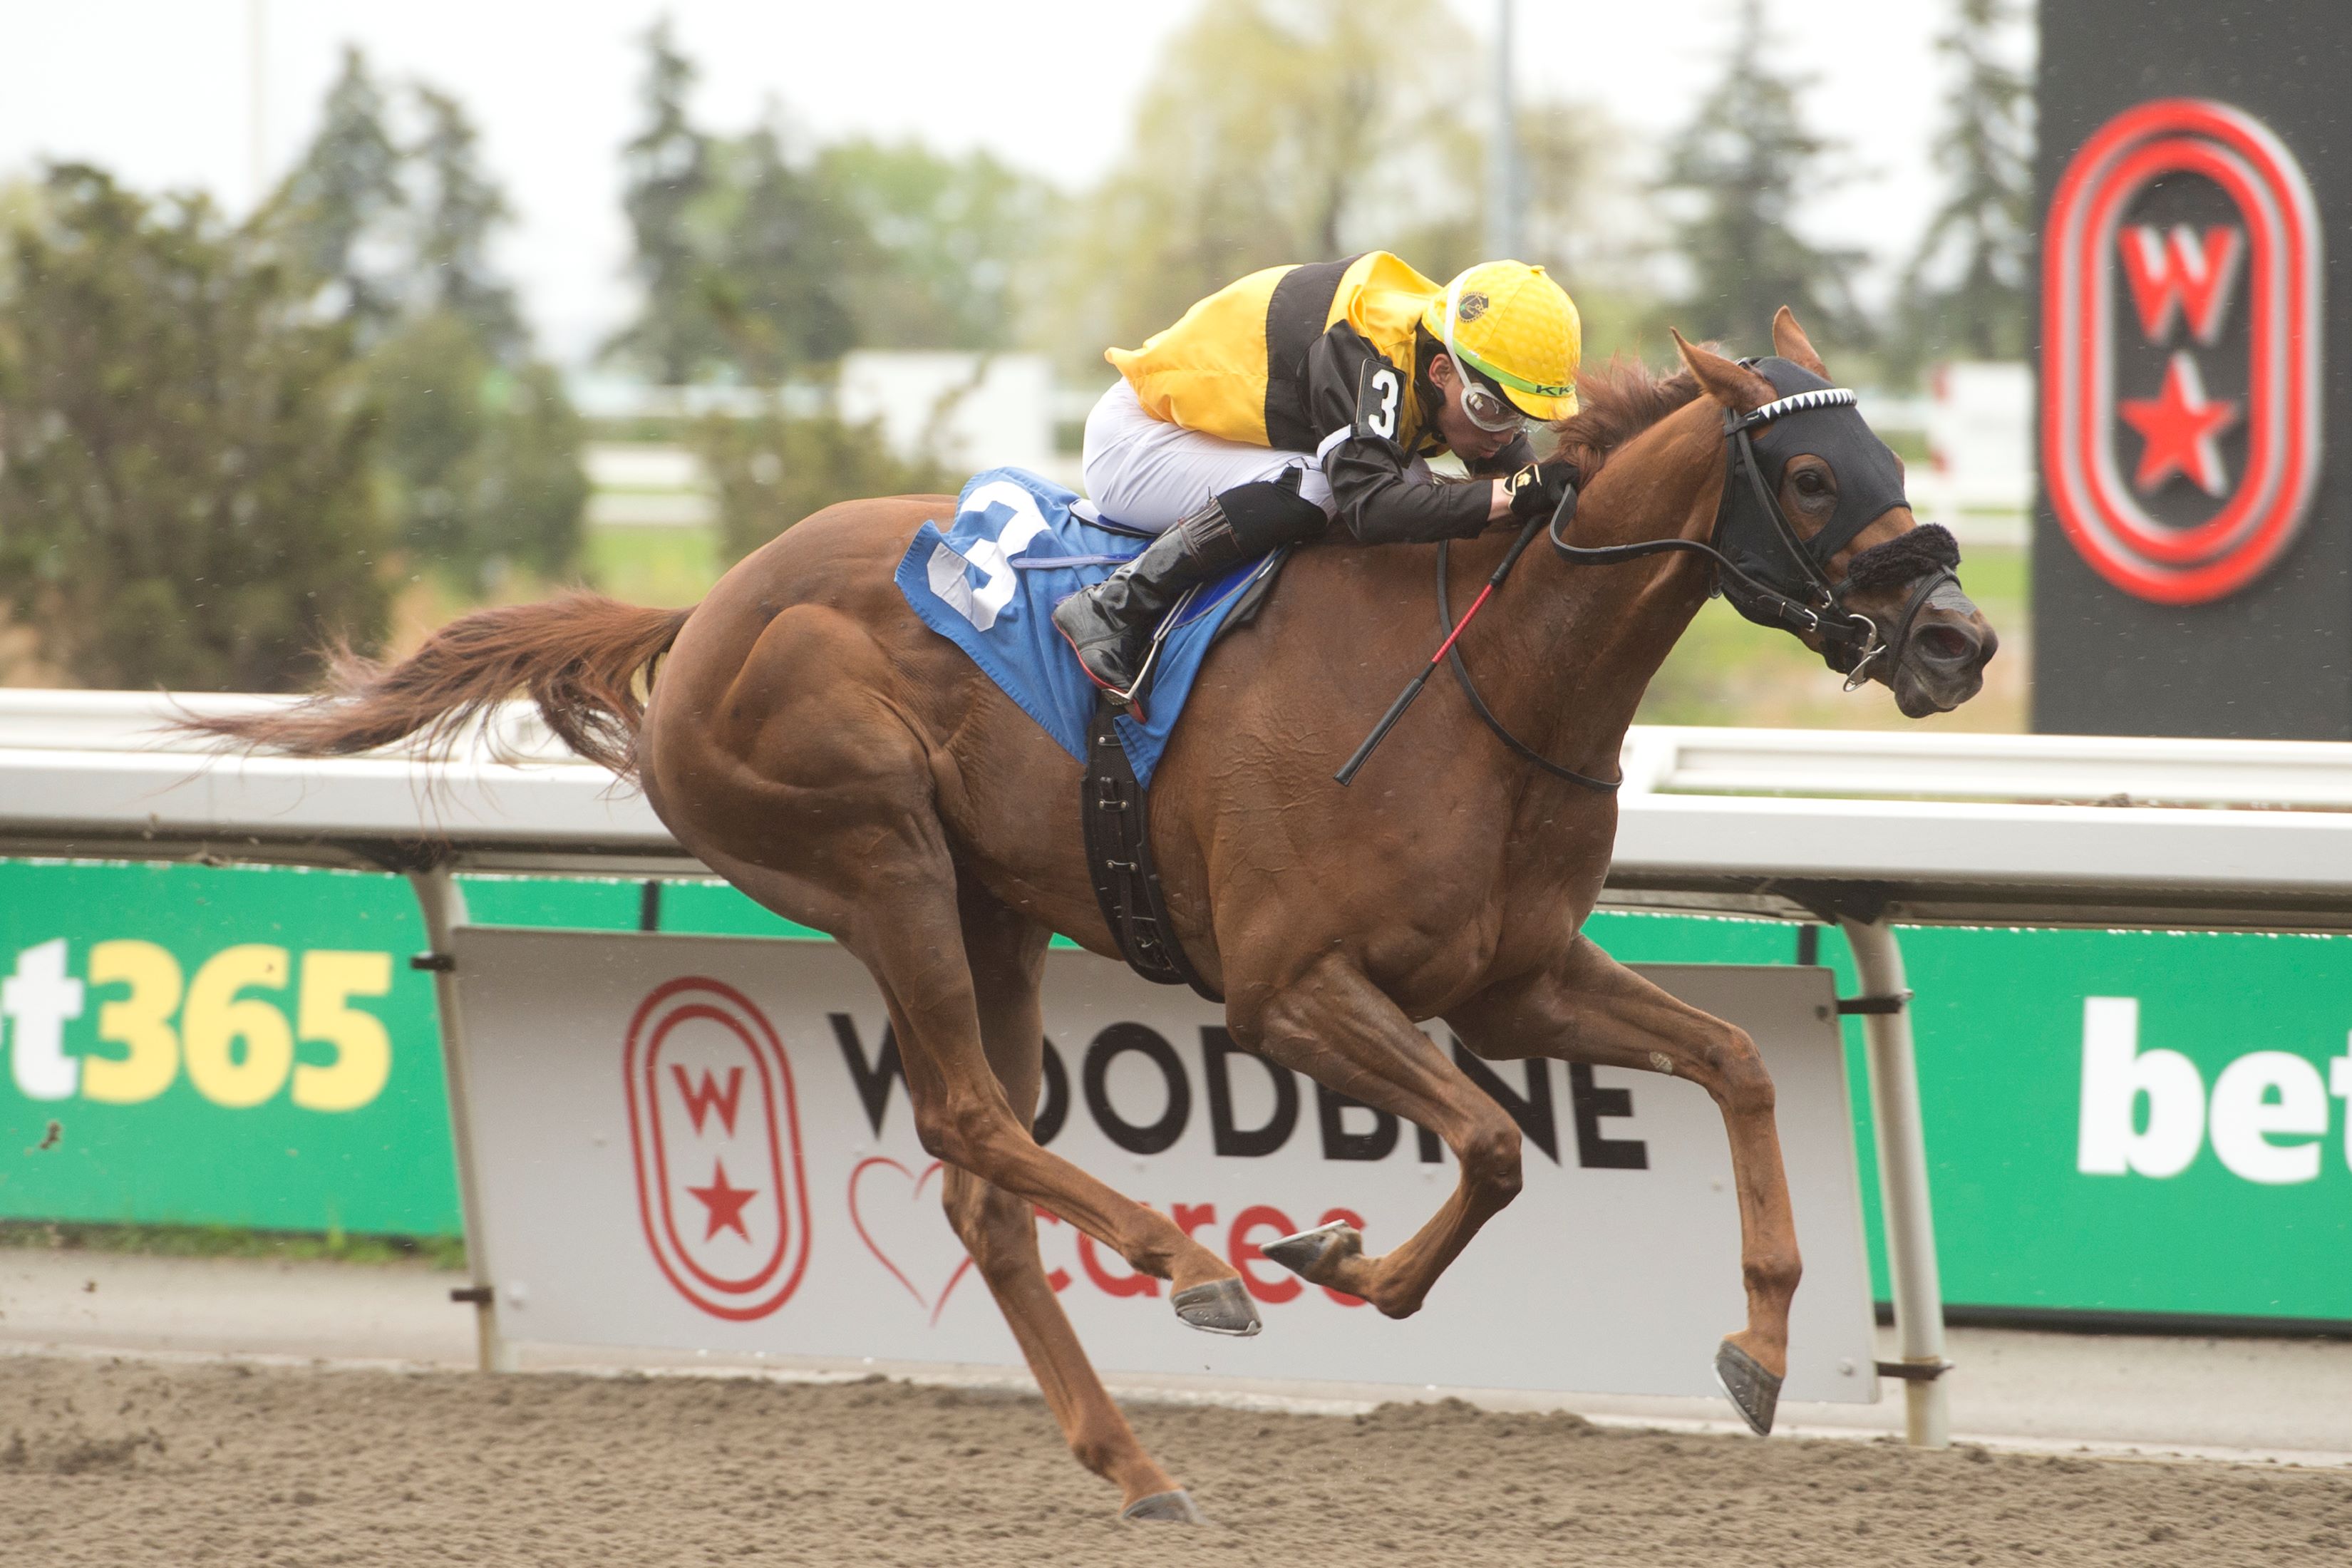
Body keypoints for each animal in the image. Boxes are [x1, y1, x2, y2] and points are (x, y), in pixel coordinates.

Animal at [202, 312, 1994, 1523]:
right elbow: (1491, 1142)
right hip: (880, 857)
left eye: (1897, 458)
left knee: (978, 1187)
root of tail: (702, 607)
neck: (1480, 679)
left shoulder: (1513, 976)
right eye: (1814, 471)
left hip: (997, 906)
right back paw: (1182, 1259)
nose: (1960, 638)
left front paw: (1758, 1345)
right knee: (969, 1118)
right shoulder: (1285, 988)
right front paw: (1327, 1257)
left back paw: (1136, 1459)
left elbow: (1729, 1067)